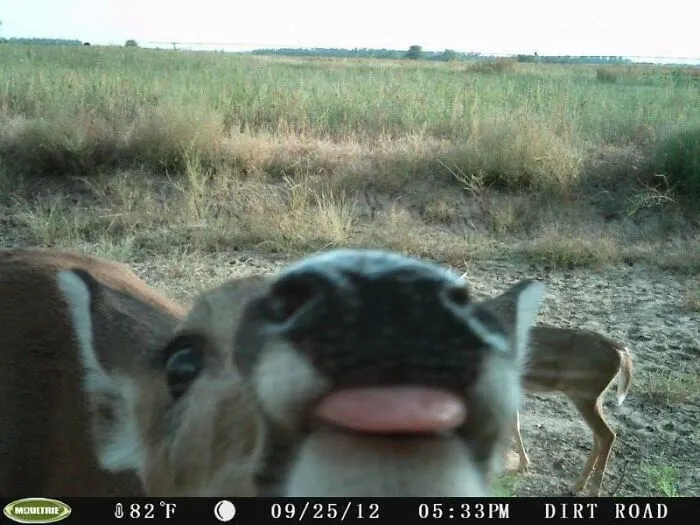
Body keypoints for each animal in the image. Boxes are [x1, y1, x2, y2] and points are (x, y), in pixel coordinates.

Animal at [513, 326, 634, 497]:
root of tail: (621, 351)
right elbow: (514, 424)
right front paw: (524, 464)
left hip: (583, 394)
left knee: (607, 435)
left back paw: (592, 491)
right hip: (595, 397)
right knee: (598, 436)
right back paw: (578, 486)